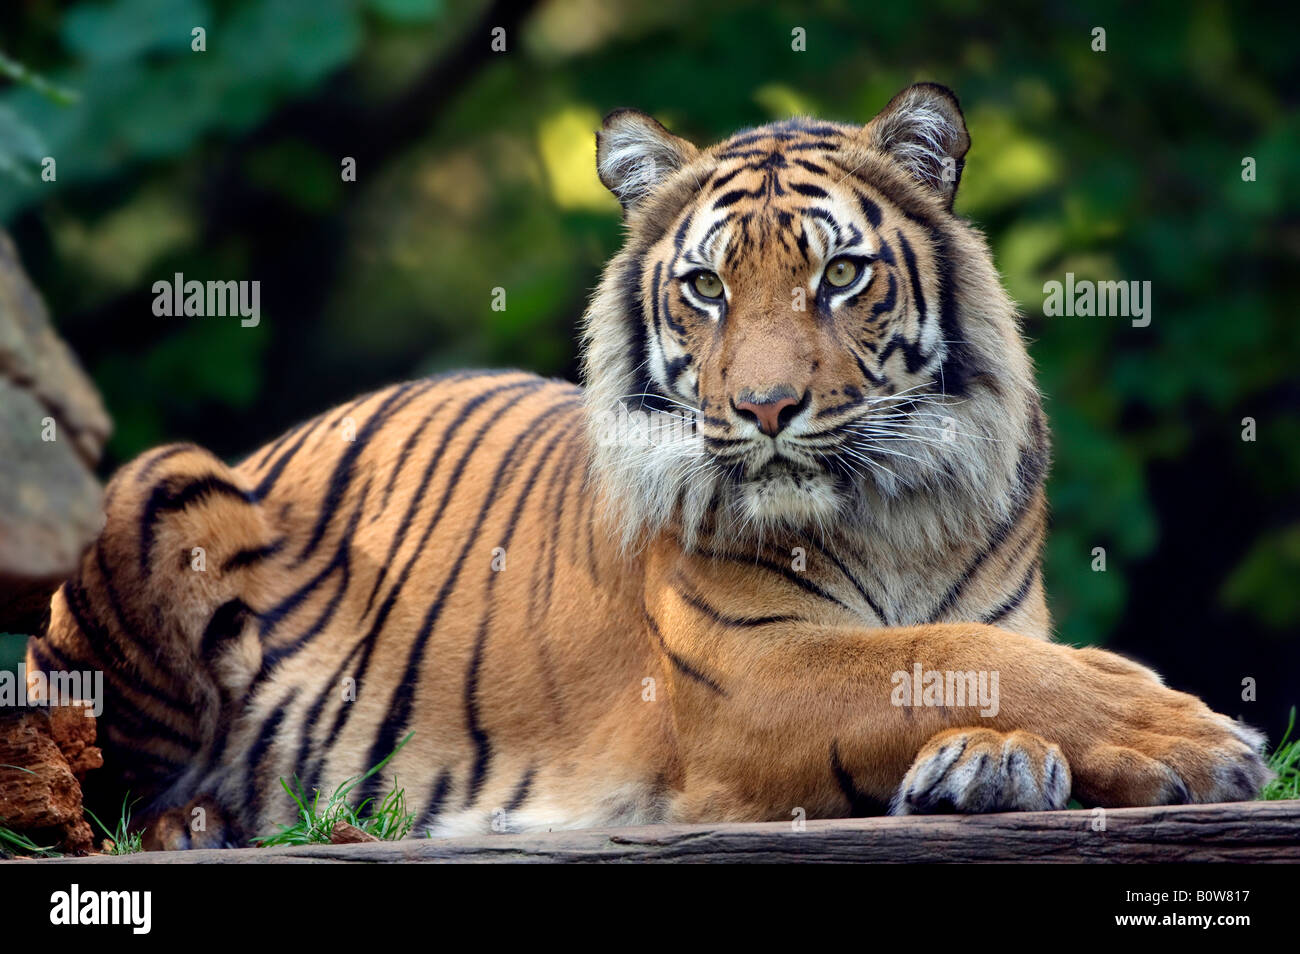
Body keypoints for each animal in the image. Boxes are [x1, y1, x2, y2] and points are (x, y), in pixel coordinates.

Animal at [22, 78, 1268, 847]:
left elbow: (983, 656)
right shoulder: (750, 674)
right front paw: (1204, 738)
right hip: (159, 486)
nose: (764, 409)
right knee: (94, 782)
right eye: (707, 286)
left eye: (839, 277)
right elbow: (936, 655)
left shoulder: (988, 617)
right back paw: (199, 824)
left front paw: (995, 762)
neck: (890, 514)